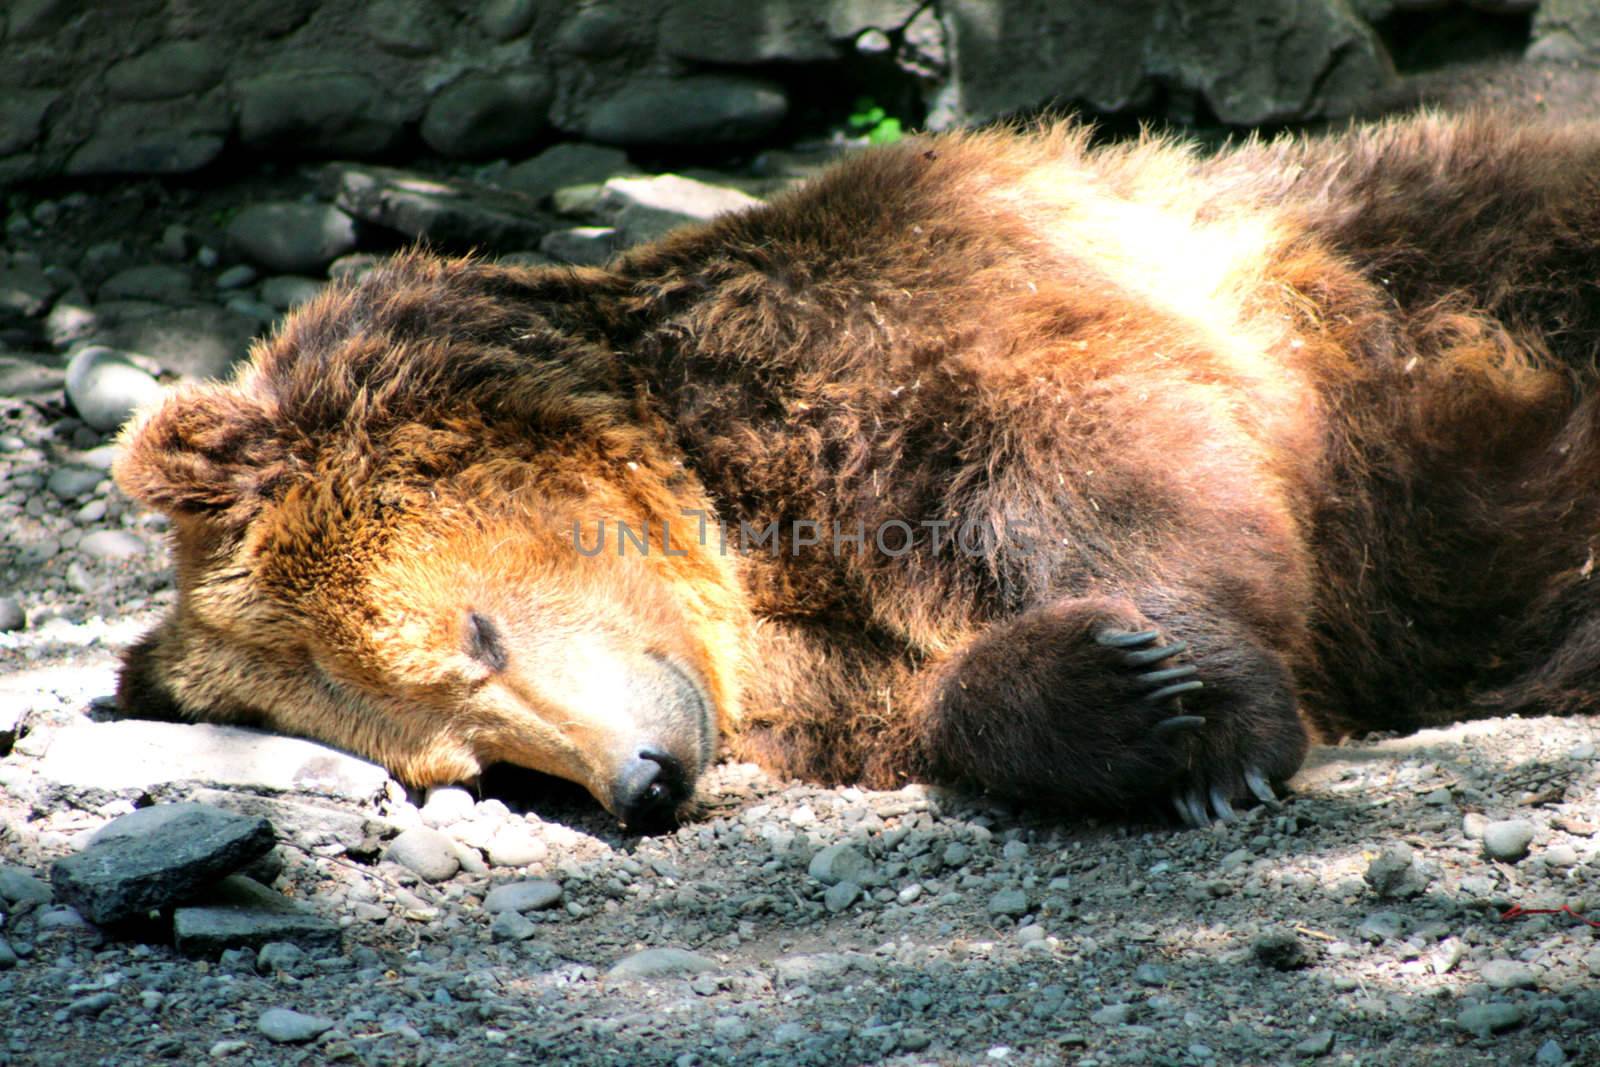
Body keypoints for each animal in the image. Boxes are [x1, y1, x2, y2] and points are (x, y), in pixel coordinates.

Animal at [118, 116, 1600, 831]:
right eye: (470, 765)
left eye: (472, 636)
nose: (642, 779)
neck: (722, 514)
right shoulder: (797, 657)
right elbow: (909, 698)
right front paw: (1105, 695)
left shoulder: (905, 305)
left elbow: (1110, 451)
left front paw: (1202, 707)